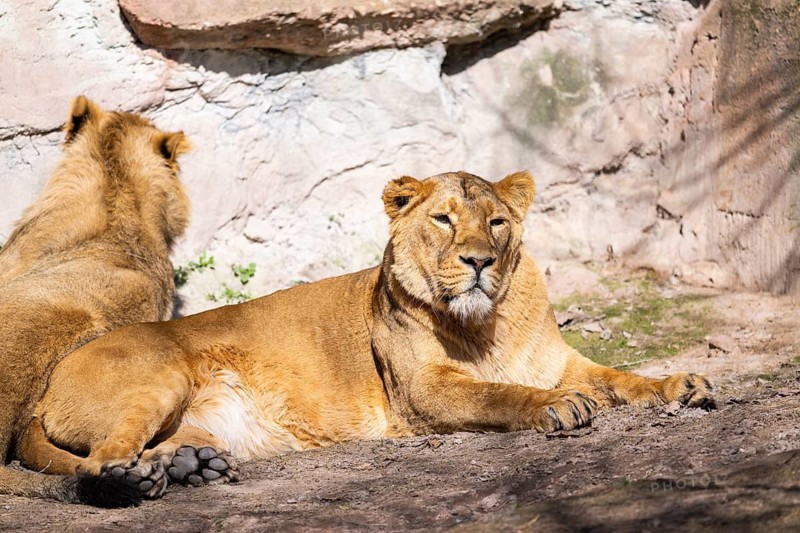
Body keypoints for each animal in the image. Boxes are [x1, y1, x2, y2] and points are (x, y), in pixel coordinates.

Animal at [19, 171, 714, 499]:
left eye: (496, 222)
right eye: (443, 220)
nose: (479, 262)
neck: (487, 324)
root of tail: (48, 382)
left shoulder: (559, 361)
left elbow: (622, 378)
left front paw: (683, 385)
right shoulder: (423, 392)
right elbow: (501, 394)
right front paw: (558, 409)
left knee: (156, 448)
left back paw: (192, 466)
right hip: (157, 376)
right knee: (104, 459)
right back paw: (131, 484)